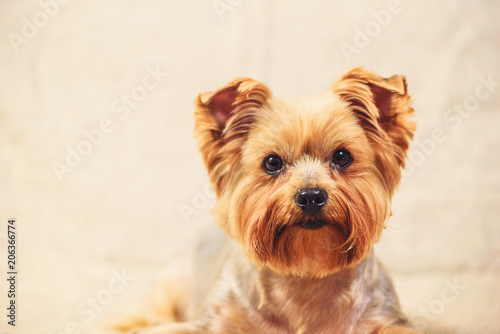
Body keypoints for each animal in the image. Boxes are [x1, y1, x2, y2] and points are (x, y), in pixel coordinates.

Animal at [117, 68, 422, 334]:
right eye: (272, 163)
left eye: (342, 156)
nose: (310, 196)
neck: (305, 276)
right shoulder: (209, 320)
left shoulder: (385, 317)